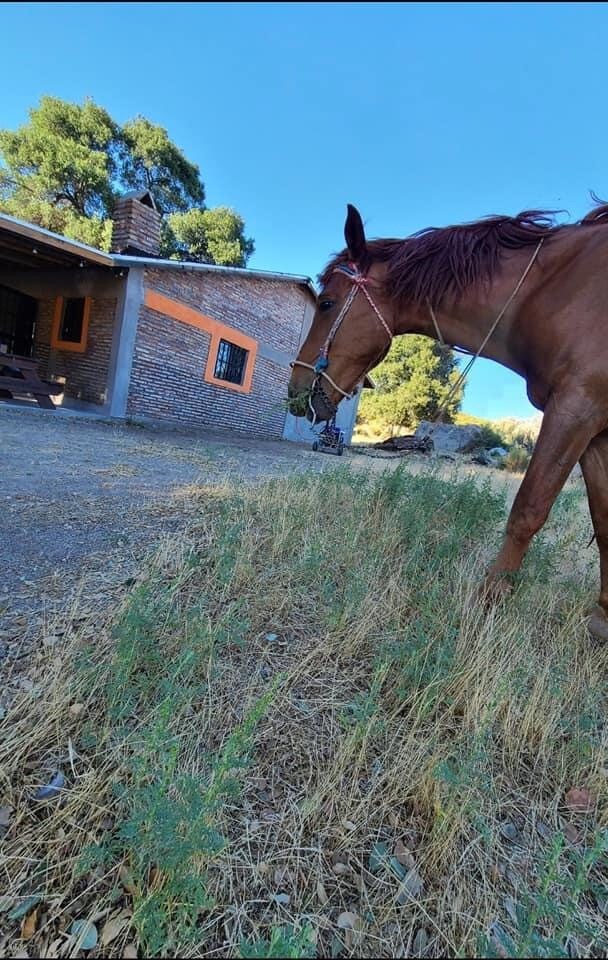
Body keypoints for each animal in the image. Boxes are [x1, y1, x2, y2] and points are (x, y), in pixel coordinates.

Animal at [286, 202, 608, 636]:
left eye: (326, 304)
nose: (295, 391)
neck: (557, 289)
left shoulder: (575, 408)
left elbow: (528, 509)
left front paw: (489, 600)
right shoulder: (595, 430)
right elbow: (603, 520)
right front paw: (603, 617)